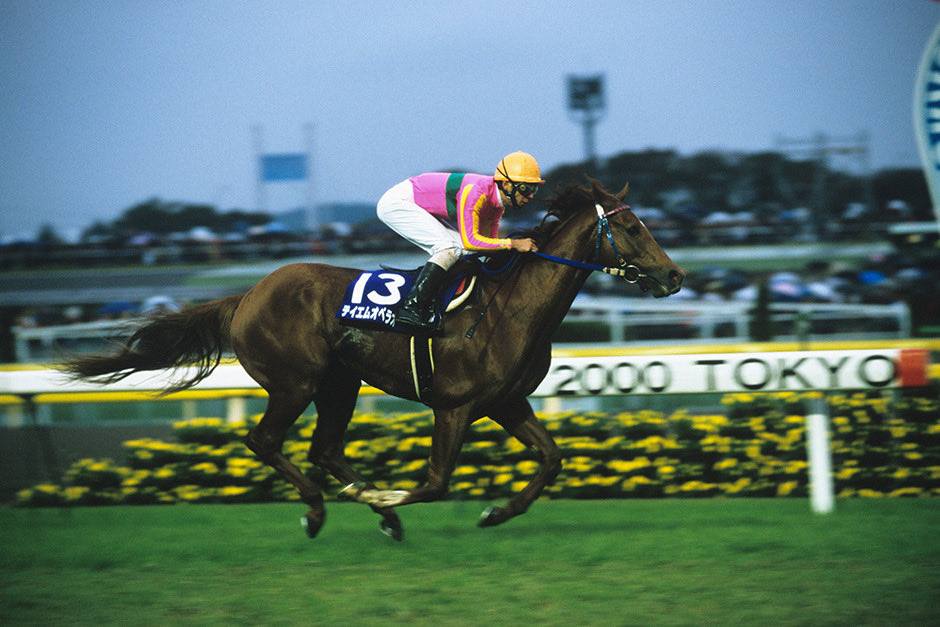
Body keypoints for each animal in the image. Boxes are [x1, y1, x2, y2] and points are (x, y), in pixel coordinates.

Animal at [59, 179, 685, 540]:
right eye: (632, 227)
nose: (675, 276)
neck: (510, 308)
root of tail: (247, 295)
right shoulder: (454, 406)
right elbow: (435, 481)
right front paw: (389, 495)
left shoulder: (506, 402)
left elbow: (552, 459)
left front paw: (495, 513)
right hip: (295, 382)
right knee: (267, 441)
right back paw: (322, 510)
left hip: (341, 383)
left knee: (324, 448)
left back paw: (374, 510)